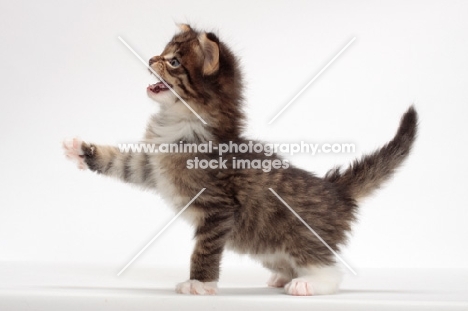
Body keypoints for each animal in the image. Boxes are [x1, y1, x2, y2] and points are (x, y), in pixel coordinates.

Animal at [62, 24, 416, 298]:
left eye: (173, 61)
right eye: (161, 54)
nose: (150, 59)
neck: (180, 123)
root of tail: (335, 189)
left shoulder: (218, 208)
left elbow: (204, 248)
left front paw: (199, 284)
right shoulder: (151, 165)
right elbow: (121, 162)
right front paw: (79, 149)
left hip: (301, 238)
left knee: (330, 270)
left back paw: (307, 285)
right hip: (265, 246)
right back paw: (284, 277)